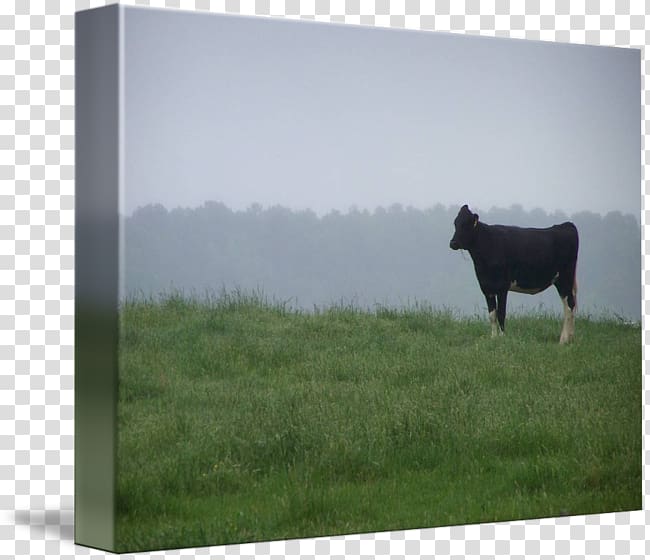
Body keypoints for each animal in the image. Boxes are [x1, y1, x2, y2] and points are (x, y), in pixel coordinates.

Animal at [450, 205, 576, 344]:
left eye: (466, 224)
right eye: (455, 223)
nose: (453, 243)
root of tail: (566, 225)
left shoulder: (502, 287)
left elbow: (501, 313)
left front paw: (502, 338)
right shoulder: (486, 287)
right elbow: (492, 314)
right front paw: (493, 338)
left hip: (565, 277)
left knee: (570, 305)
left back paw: (563, 340)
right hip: (561, 281)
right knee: (568, 305)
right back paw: (569, 337)